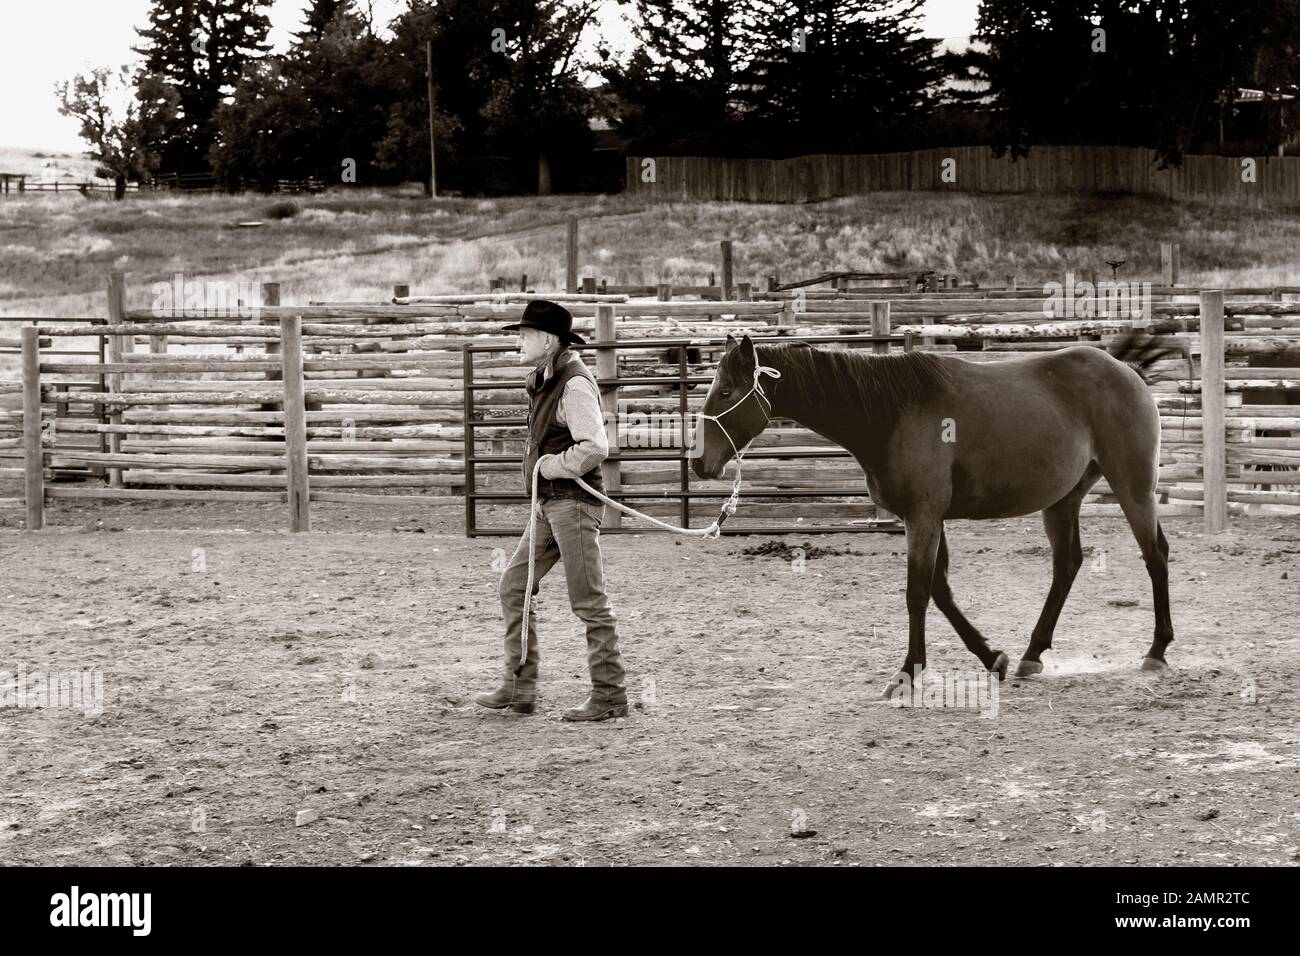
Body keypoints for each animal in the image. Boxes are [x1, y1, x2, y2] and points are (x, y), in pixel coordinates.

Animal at [692, 331, 1187, 698]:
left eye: (727, 390)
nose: (700, 463)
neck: (890, 414)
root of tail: (1123, 369)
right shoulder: (931, 518)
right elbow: (941, 590)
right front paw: (993, 658)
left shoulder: (924, 516)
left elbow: (918, 592)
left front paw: (908, 672)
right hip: (1062, 500)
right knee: (1067, 564)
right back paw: (1032, 654)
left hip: (1132, 487)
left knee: (1155, 555)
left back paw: (1156, 651)